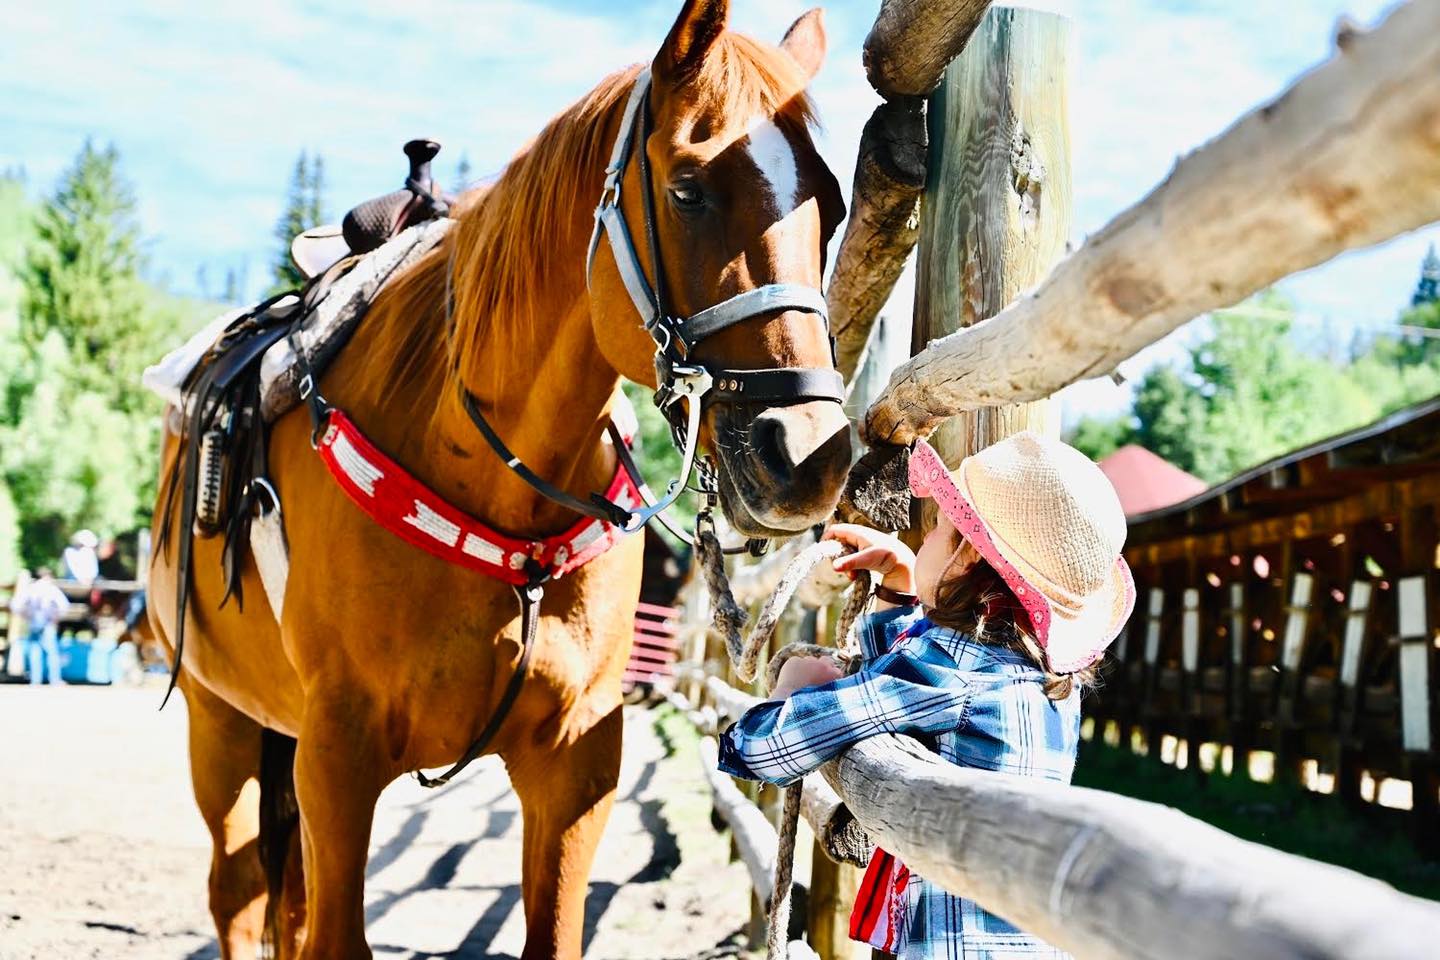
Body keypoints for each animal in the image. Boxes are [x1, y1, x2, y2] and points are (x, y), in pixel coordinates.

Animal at [146, 2, 850, 957]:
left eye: (834, 206)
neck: (494, 486)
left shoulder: (575, 765)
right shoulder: (337, 758)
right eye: (687, 191)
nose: (808, 453)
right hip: (220, 724)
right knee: (240, 893)